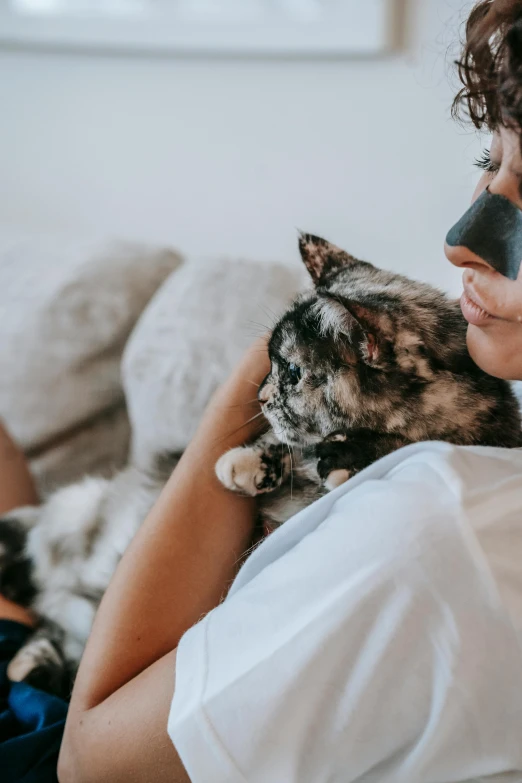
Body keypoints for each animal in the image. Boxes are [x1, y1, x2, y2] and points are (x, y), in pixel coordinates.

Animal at [1, 234, 520, 700]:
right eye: (268, 364)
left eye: (289, 371)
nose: (260, 395)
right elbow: (283, 443)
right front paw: (246, 463)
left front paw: (347, 460)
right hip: (73, 510)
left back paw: (28, 665)